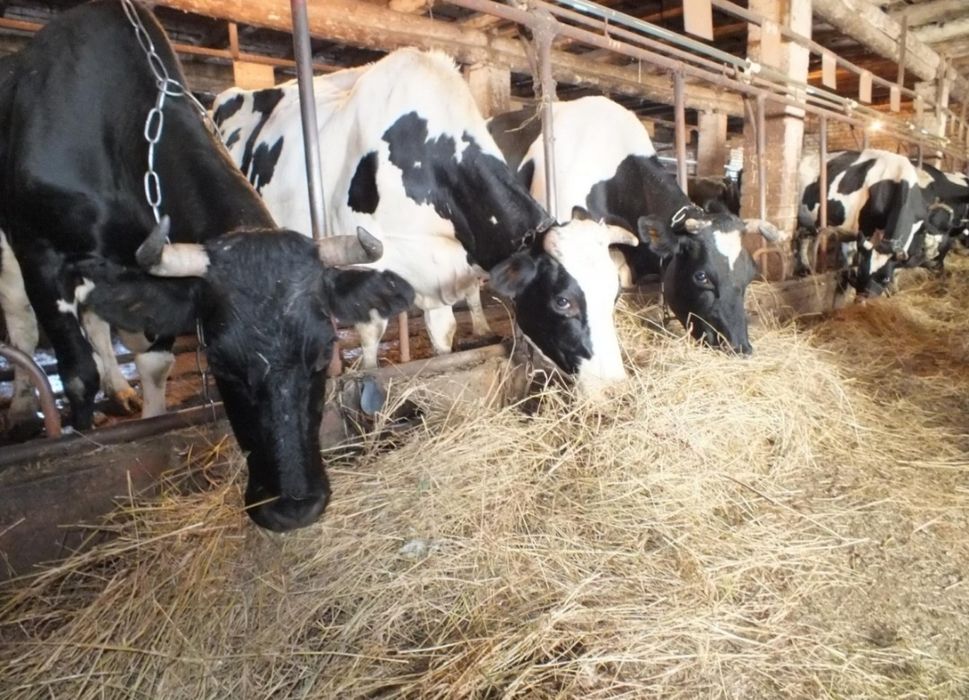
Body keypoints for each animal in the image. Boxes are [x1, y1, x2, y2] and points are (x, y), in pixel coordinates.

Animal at [0, 0, 414, 532]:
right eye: (218, 361)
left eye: (325, 352)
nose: (294, 507)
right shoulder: (38, 249)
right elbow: (76, 374)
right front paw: (82, 432)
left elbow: (153, 362)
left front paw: (148, 412)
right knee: (22, 323)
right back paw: (23, 407)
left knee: (97, 322)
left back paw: (121, 391)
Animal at [212, 49, 639, 396]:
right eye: (563, 301)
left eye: (614, 294)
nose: (616, 389)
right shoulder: (368, 263)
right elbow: (370, 334)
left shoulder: (446, 271)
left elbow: (443, 334)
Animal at [795, 149, 927, 297]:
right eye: (861, 273)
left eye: (885, 278)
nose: (864, 297)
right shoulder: (859, 227)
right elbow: (851, 253)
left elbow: (900, 266)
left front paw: (893, 289)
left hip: (809, 221)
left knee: (803, 237)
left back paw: (805, 269)